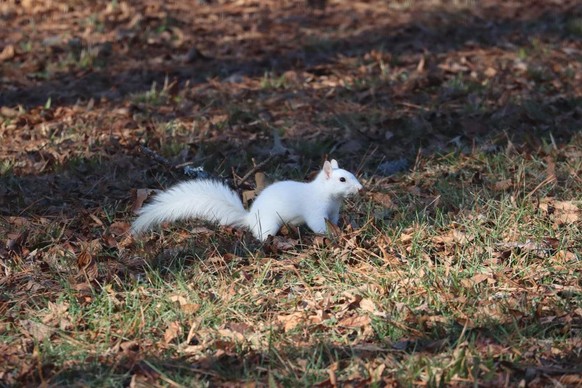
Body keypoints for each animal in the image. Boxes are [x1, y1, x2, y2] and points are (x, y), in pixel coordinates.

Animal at [131, 159, 364, 241]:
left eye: (350, 174)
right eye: (342, 179)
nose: (360, 188)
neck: (329, 197)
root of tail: (250, 218)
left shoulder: (333, 211)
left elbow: (333, 220)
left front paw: (339, 229)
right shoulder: (315, 211)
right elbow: (318, 225)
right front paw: (330, 235)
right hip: (270, 223)